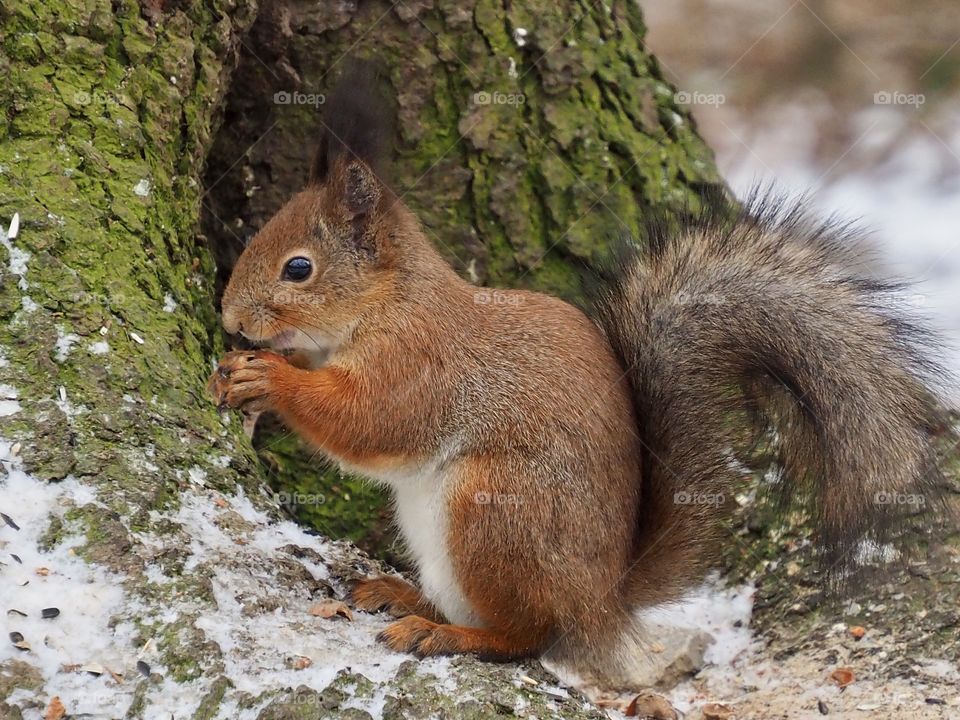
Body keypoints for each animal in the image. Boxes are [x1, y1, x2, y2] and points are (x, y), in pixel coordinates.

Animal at [207, 66, 946, 690]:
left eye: (298, 268)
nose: (230, 316)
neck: (387, 304)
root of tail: (601, 603)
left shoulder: (420, 366)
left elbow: (370, 424)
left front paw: (269, 378)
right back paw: (402, 594)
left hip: (497, 512)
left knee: (527, 634)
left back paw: (446, 633)